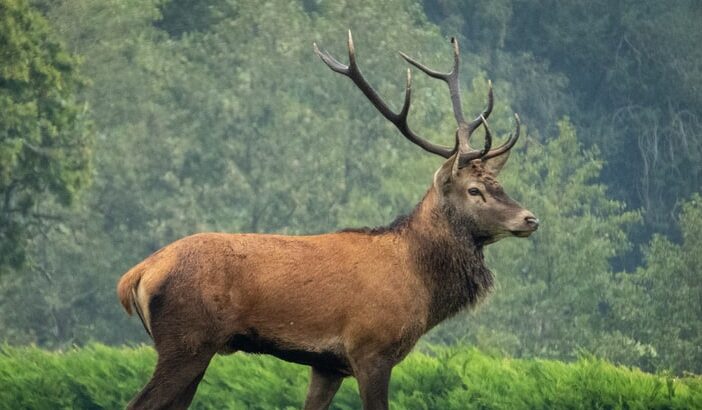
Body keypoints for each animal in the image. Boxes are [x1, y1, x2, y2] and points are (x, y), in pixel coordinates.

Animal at [118, 32, 540, 410]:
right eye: (474, 190)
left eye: (499, 184)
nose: (530, 218)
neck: (420, 285)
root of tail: (137, 274)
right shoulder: (371, 349)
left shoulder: (328, 365)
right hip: (187, 341)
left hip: (193, 348)